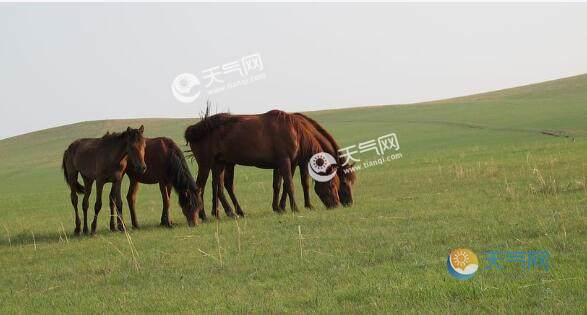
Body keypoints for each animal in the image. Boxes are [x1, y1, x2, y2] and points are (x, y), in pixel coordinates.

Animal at [184, 110, 340, 218]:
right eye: (332, 184)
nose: (337, 204)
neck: (294, 132)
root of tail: (194, 129)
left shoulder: (279, 165)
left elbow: (278, 185)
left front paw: (278, 208)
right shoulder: (286, 162)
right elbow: (290, 185)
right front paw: (295, 207)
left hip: (219, 164)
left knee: (219, 187)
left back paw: (230, 212)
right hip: (206, 165)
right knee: (201, 187)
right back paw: (204, 215)